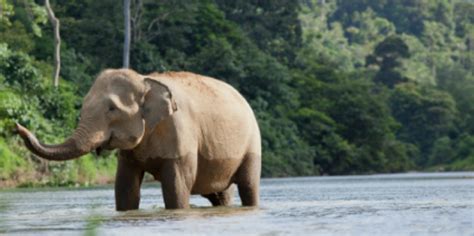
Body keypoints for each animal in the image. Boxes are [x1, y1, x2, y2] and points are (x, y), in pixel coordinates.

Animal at [16, 69, 262, 211]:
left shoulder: (180, 131)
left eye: (112, 109)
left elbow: (177, 186)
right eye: (83, 105)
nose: (17, 126)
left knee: (248, 186)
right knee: (220, 194)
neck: (146, 80)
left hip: (252, 143)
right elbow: (126, 187)